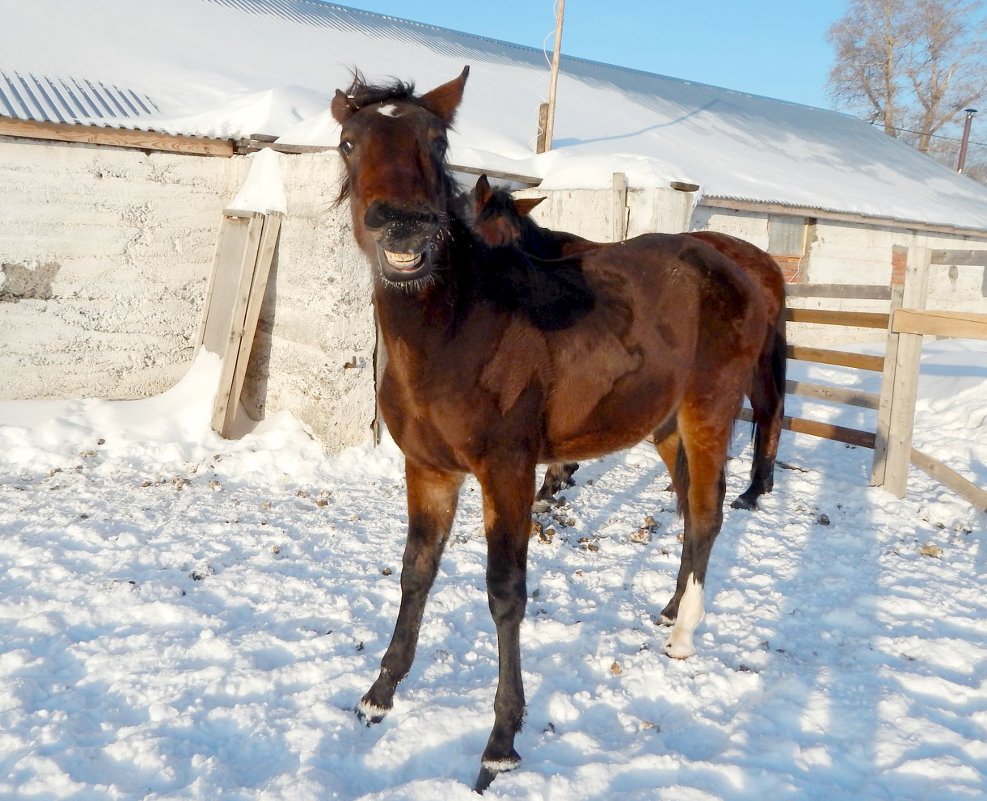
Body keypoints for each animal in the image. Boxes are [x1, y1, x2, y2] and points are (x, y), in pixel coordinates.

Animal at [470, 176, 788, 512]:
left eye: (516, 237)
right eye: (477, 233)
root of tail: (765, 263)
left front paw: (552, 482)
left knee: (769, 410)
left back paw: (751, 491)